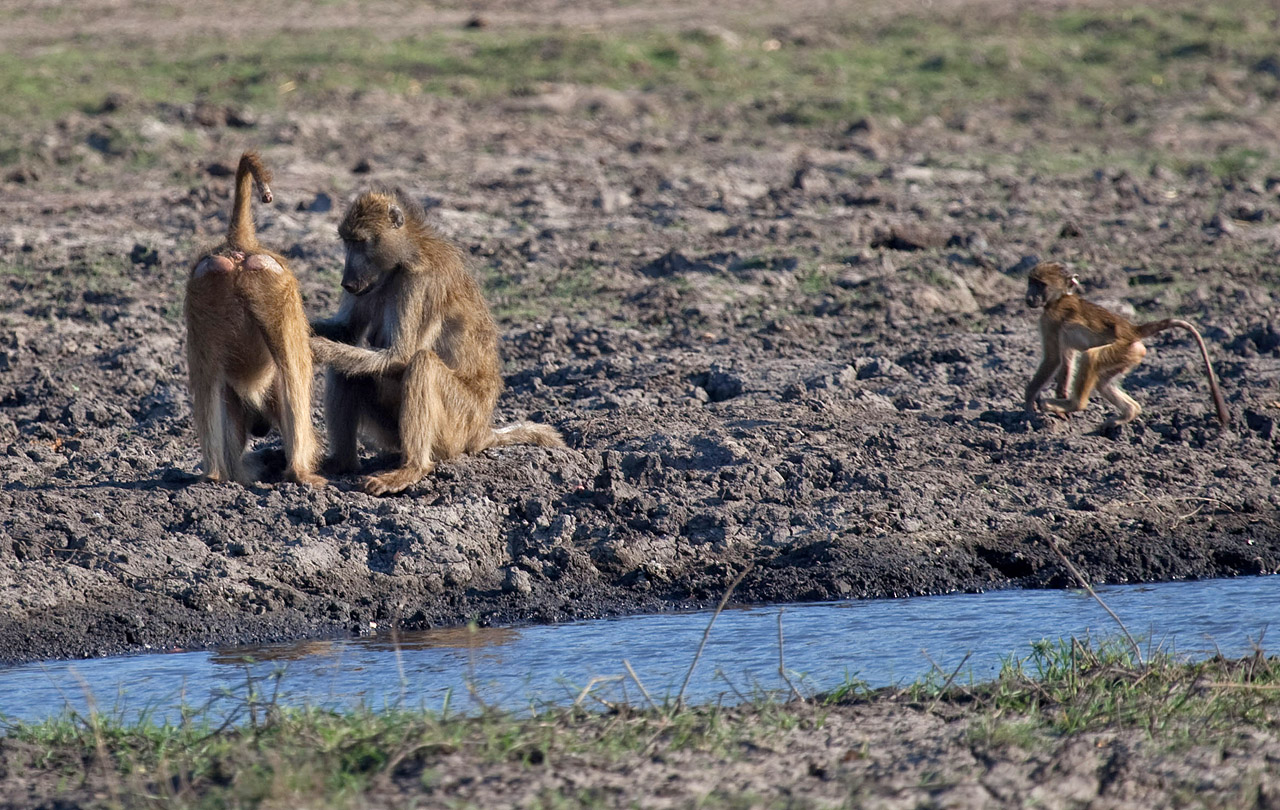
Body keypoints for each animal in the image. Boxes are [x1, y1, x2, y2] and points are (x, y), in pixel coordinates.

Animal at [184, 151, 324, 486]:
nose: (260, 428)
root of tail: (239, 248)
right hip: (282, 295)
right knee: (294, 373)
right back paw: (300, 472)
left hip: (205, 298)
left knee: (208, 381)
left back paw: (213, 474)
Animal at [309, 189, 564, 496]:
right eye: (347, 243)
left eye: (360, 242)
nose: (346, 283)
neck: (400, 262)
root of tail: (482, 432)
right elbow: (346, 331)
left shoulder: (421, 282)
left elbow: (400, 355)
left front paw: (316, 347)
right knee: (345, 369)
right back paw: (341, 464)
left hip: (460, 424)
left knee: (423, 364)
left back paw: (410, 470)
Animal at [1023, 261, 1229, 428]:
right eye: (1030, 282)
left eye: (1040, 285)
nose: (1029, 298)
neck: (1059, 298)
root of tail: (1131, 329)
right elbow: (1065, 360)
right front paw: (1060, 406)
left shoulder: (1049, 319)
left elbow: (1053, 358)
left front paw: (1029, 403)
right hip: (1130, 354)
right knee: (1102, 382)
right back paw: (1129, 413)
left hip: (1123, 348)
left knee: (1091, 357)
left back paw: (1075, 405)